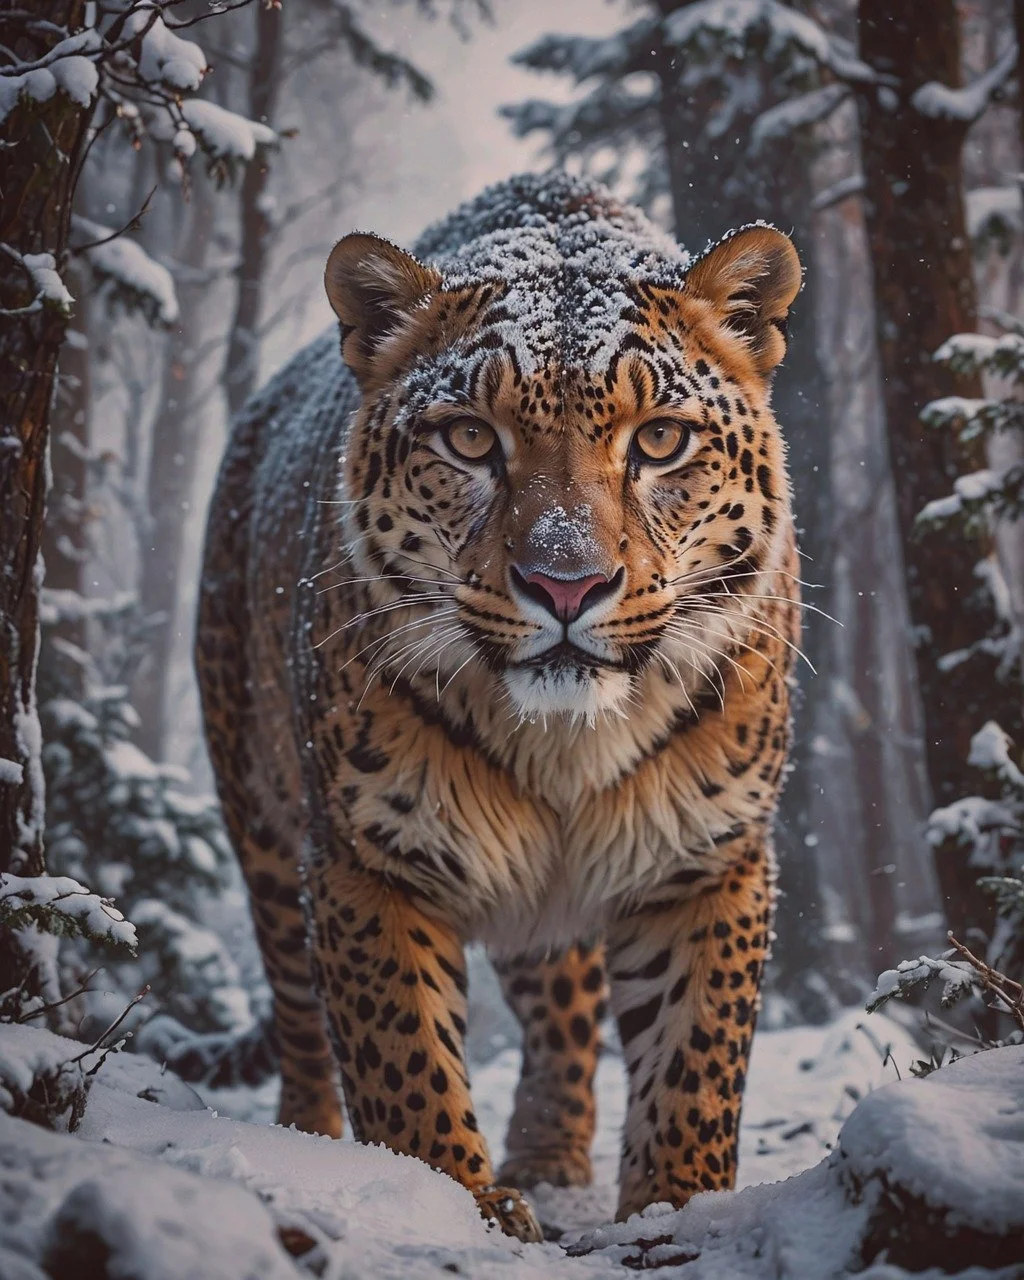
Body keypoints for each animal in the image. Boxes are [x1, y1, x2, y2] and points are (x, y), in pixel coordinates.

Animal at [195, 172, 803, 1243]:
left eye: (659, 439)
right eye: (471, 438)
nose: (566, 585)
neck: (565, 743)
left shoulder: (708, 857)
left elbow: (694, 1059)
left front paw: (676, 1207)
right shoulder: (368, 861)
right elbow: (403, 1054)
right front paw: (452, 1205)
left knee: (563, 1003)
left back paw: (552, 1156)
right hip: (263, 827)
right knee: (299, 1016)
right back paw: (308, 1138)